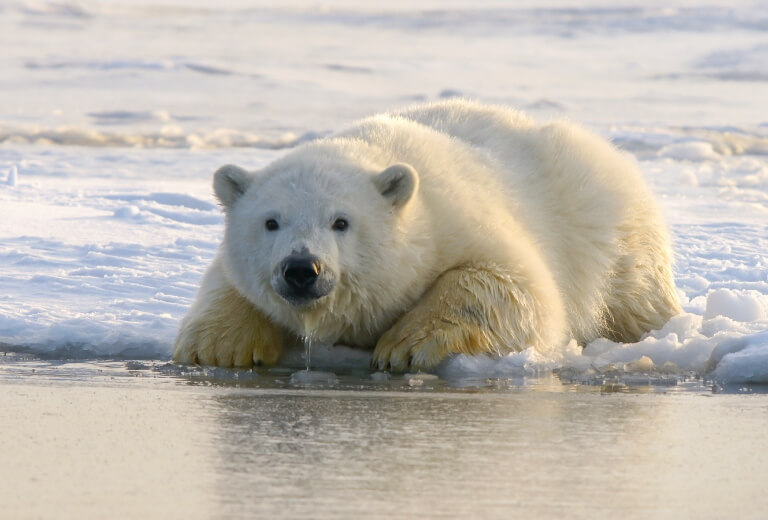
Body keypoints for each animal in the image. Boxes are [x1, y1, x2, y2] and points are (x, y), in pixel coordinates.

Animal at [172, 99, 680, 372]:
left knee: (635, 295)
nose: (301, 269)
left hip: (609, 230)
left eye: (341, 221)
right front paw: (219, 347)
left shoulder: (460, 220)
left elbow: (516, 287)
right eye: (271, 221)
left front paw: (403, 346)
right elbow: (225, 281)